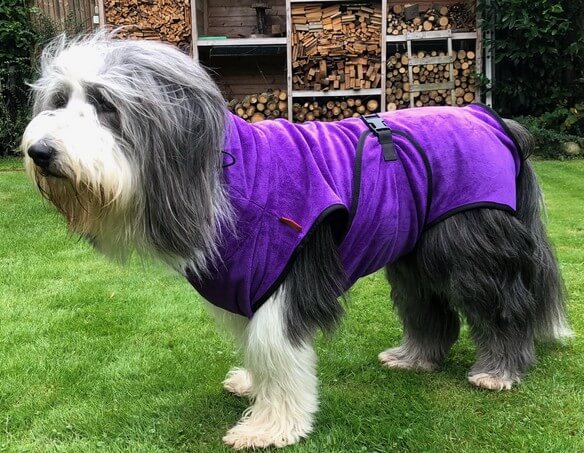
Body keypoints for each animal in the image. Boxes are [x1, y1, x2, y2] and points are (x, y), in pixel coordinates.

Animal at [21, 33, 572, 446]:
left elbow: (276, 349)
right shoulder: (249, 282)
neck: (227, 179)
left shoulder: (285, 276)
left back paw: (500, 370)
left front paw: (270, 426)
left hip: (468, 247)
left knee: (504, 305)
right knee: (428, 306)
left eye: (104, 104)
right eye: (59, 100)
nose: (39, 152)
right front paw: (252, 386)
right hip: (415, 251)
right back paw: (415, 357)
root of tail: (495, 120)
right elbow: (255, 348)